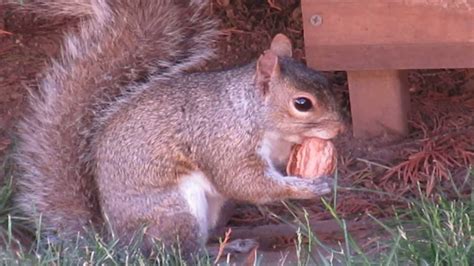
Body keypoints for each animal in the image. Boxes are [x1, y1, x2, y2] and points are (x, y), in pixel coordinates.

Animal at [14, 0, 344, 258]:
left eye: (323, 79)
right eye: (302, 103)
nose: (340, 128)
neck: (251, 114)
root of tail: (118, 242)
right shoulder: (223, 140)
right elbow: (245, 183)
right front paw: (310, 187)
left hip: (211, 210)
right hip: (175, 212)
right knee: (183, 253)